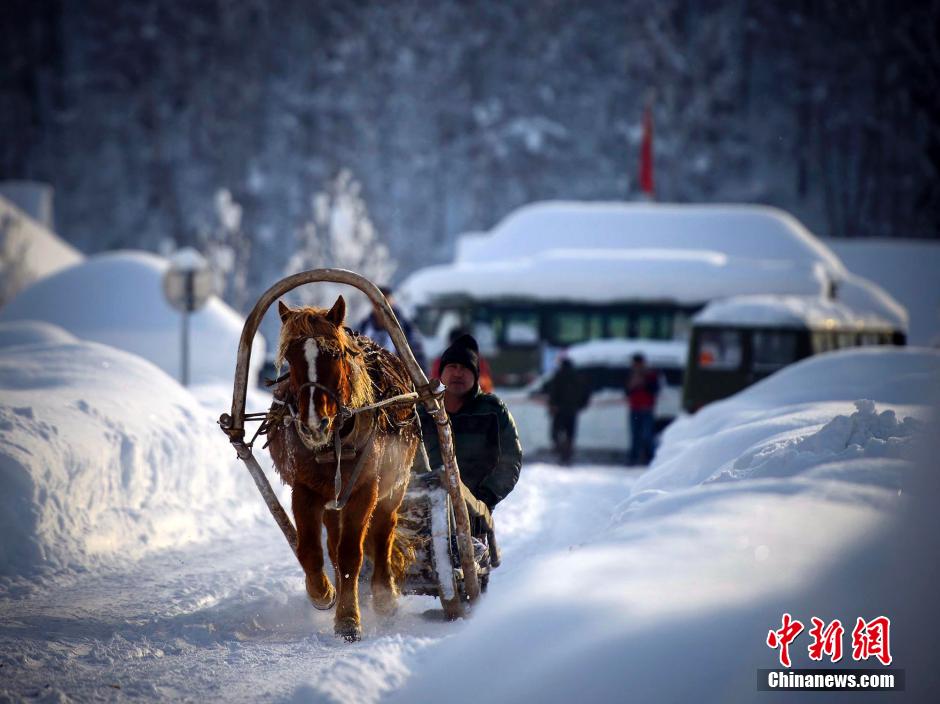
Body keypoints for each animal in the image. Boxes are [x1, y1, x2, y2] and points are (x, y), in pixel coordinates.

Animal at [268, 294, 422, 640]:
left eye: (334, 354)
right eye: (290, 358)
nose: (314, 424)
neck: (334, 443)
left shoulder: (364, 490)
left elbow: (352, 553)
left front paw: (349, 619)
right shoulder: (305, 491)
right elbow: (311, 550)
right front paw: (323, 592)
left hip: (394, 485)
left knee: (383, 530)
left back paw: (384, 594)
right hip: (331, 500)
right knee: (332, 545)